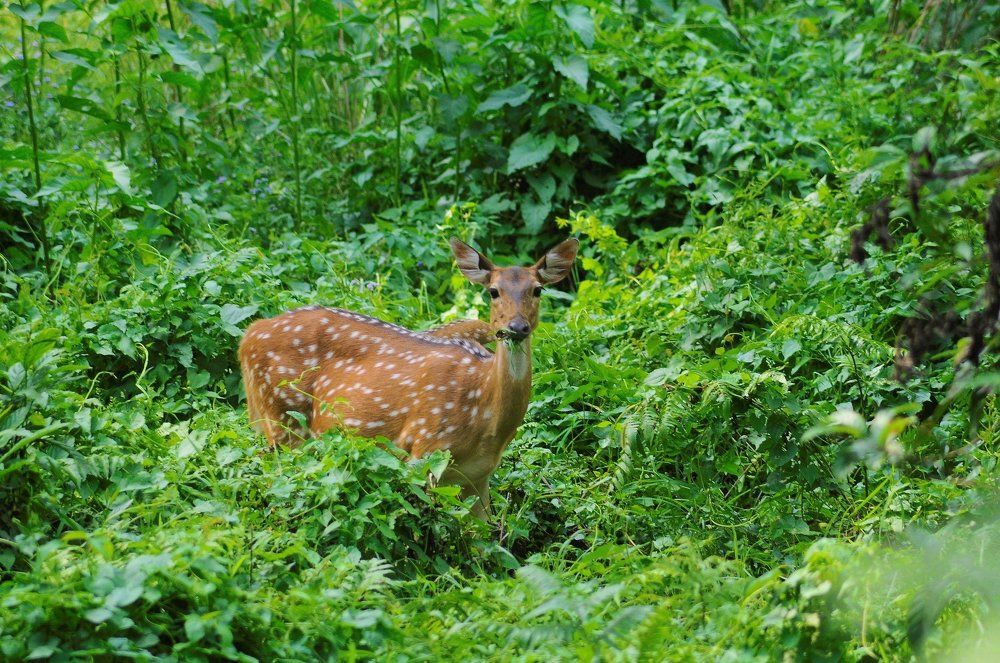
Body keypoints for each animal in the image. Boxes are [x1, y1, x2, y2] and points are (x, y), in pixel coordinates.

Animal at [238, 237, 580, 517]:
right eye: (493, 291)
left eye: (537, 289)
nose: (516, 327)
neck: (485, 417)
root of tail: (248, 336)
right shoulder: (424, 447)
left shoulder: (479, 476)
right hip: (283, 414)